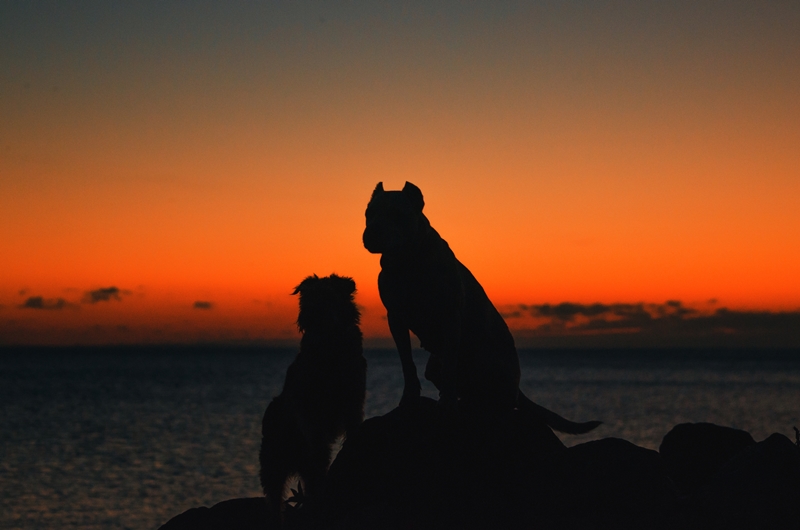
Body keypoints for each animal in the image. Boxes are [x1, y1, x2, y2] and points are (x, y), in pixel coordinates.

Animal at [260, 274, 366, 520]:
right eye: (307, 297)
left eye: (328, 296)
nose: (310, 313)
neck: (329, 346)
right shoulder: (311, 413)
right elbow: (318, 449)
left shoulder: (353, 399)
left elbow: (353, 428)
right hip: (273, 461)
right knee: (275, 494)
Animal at [362, 182, 600, 434]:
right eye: (369, 214)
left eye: (397, 214)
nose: (371, 233)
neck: (408, 261)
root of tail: (517, 389)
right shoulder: (396, 319)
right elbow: (407, 363)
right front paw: (410, 398)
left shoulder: (449, 318)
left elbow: (449, 367)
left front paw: (446, 406)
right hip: (434, 365)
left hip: (487, 363)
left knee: (498, 402)